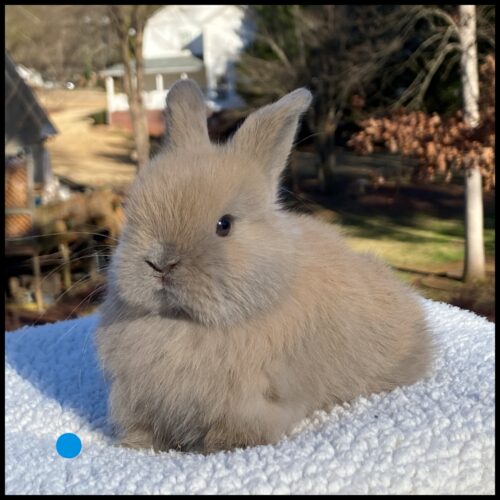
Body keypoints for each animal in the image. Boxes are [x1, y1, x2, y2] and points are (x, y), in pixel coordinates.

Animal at [94, 77, 434, 454]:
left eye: (224, 225)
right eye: (133, 212)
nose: (160, 263)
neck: (182, 322)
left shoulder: (248, 407)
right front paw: (136, 446)